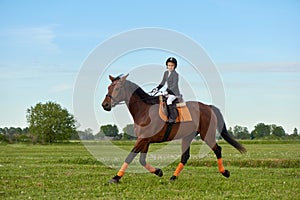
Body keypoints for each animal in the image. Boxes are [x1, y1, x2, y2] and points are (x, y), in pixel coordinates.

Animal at [101, 73, 246, 183]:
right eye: (108, 87)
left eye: (117, 88)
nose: (105, 105)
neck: (144, 110)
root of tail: (207, 106)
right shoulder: (145, 140)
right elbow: (142, 160)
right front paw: (158, 171)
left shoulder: (142, 139)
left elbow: (130, 157)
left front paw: (116, 178)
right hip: (188, 136)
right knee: (185, 156)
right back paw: (173, 177)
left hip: (207, 134)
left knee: (217, 149)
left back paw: (225, 172)